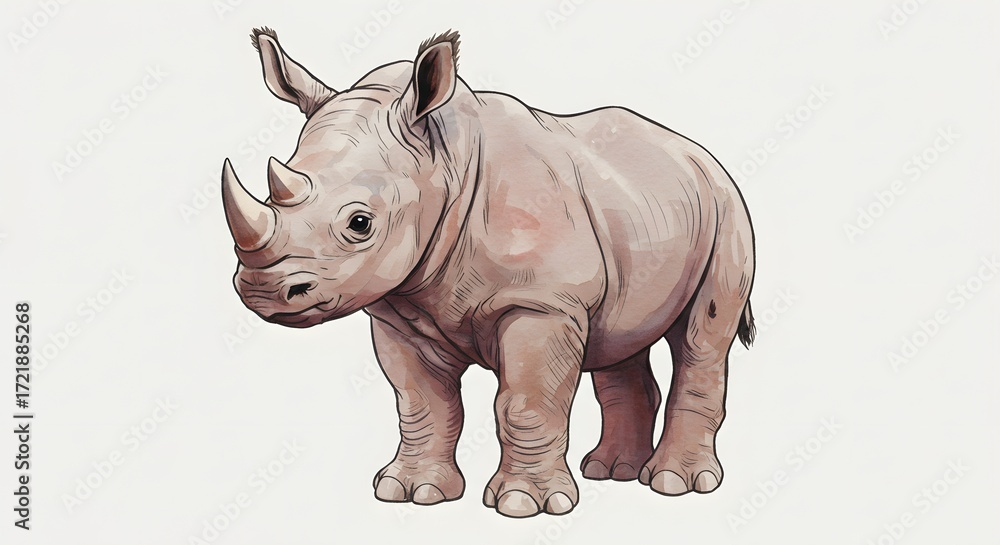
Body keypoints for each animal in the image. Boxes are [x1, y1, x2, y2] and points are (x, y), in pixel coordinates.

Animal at [221, 28, 756, 518]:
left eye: (359, 223)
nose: (264, 291)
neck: (443, 161)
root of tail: (699, 153)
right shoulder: (398, 309)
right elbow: (421, 402)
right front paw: (412, 492)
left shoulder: (542, 302)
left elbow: (525, 402)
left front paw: (525, 504)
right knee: (620, 339)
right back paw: (612, 471)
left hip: (727, 207)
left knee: (701, 338)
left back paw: (674, 483)